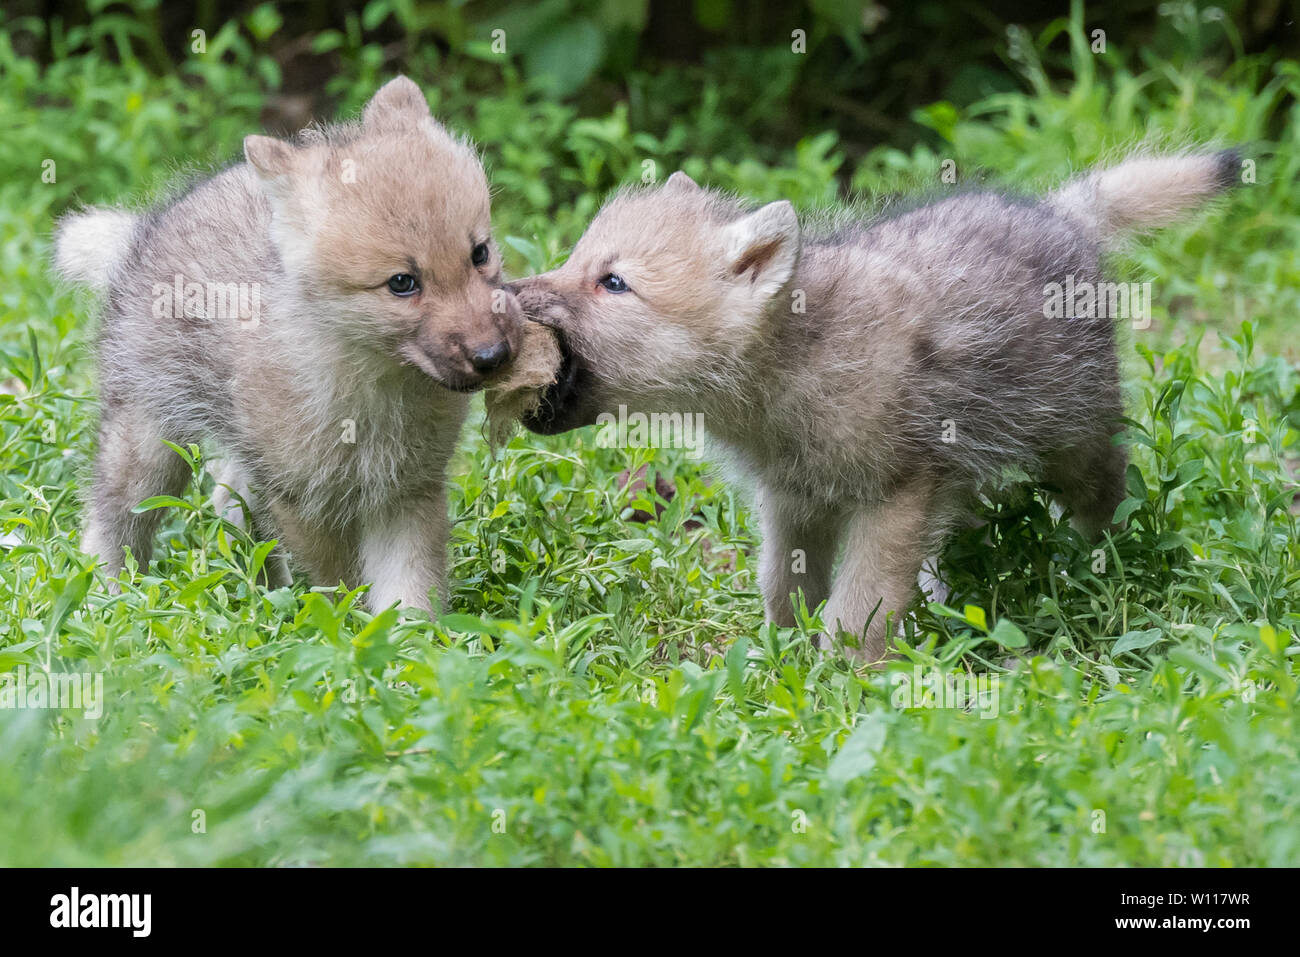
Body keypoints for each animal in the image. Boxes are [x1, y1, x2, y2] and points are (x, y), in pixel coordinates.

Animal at [54, 76, 522, 612]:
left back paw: (260, 594)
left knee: (229, 501)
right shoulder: (304, 499)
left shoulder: (406, 491)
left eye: (480, 254)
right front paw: (346, 627)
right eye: (403, 283)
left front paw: (414, 635)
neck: (375, 384)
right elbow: (344, 585)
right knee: (112, 517)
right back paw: (104, 598)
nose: (493, 357)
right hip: (151, 443)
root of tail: (140, 233)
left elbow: (409, 585)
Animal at [509, 151, 1238, 660]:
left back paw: (1099, 570)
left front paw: (840, 684)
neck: (791, 364)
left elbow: (855, 609)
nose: (507, 296)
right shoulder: (794, 501)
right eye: (573, 258)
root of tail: (1064, 210)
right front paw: (783, 660)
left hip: (1075, 444)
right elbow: (785, 592)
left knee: (1107, 498)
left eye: (613, 282)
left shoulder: (896, 494)